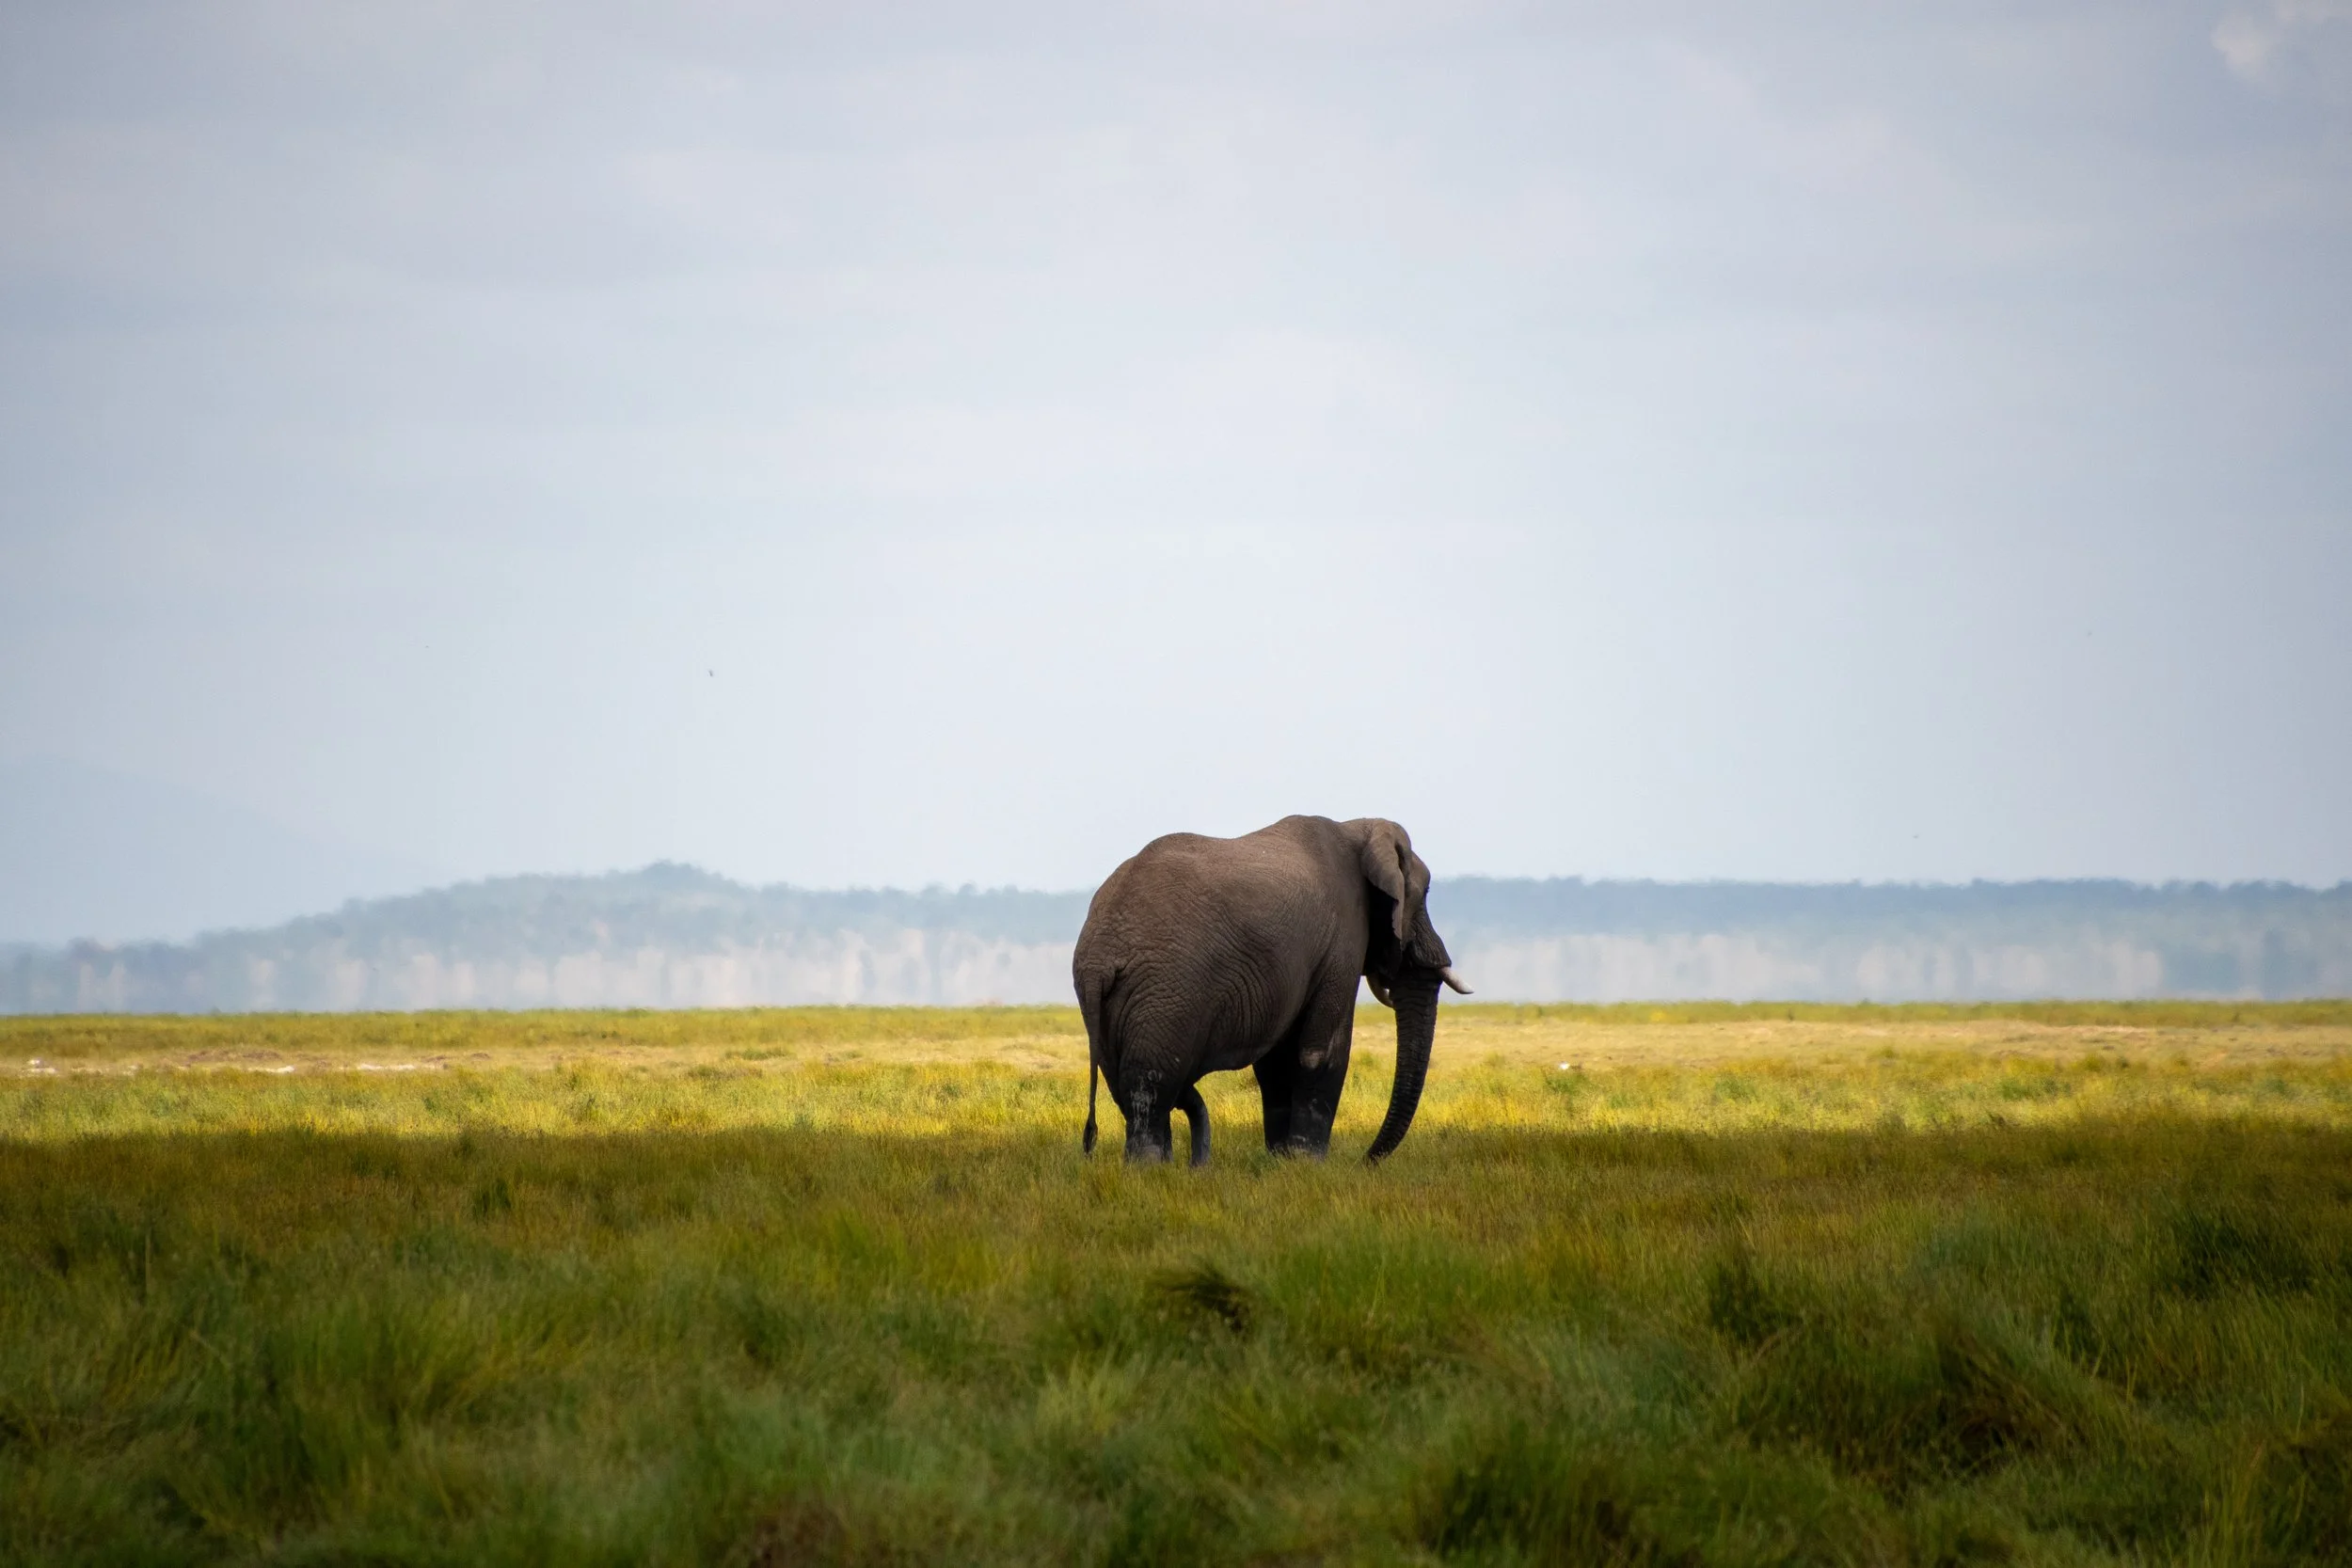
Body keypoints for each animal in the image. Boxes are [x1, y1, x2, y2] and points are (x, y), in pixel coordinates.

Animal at [1073, 815, 1470, 1165]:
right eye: (1425, 894)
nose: (1365, 1161)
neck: (1358, 828)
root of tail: (1098, 954)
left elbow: (1276, 1063)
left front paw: (1282, 1163)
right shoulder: (1342, 940)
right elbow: (1321, 1052)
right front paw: (1310, 1164)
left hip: (1112, 1008)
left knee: (1126, 1083)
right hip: (1167, 993)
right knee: (1151, 1084)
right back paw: (1152, 1169)